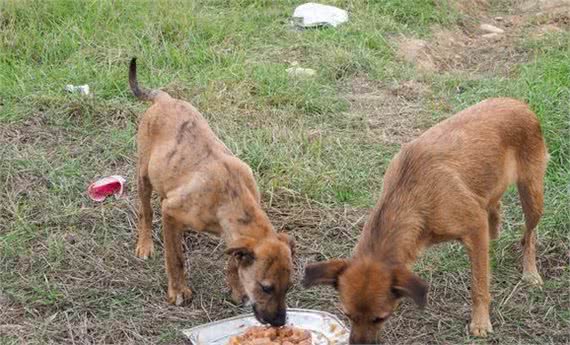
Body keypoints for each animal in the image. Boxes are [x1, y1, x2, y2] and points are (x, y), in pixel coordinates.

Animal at [128, 58, 292, 326]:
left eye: (289, 287)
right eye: (266, 288)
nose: (279, 323)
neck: (231, 195)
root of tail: (165, 99)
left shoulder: (232, 236)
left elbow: (233, 263)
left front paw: (236, 289)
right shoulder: (171, 210)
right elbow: (175, 258)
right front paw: (178, 291)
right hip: (143, 175)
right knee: (146, 211)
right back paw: (145, 244)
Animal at [302, 98, 544, 342]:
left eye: (380, 318)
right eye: (347, 315)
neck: (408, 195)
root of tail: (519, 104)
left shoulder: (475, 227)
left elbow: (479, 284)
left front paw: (480, 322)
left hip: (532, 197)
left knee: (529, 236)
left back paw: (530, 272)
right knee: (495, 210)